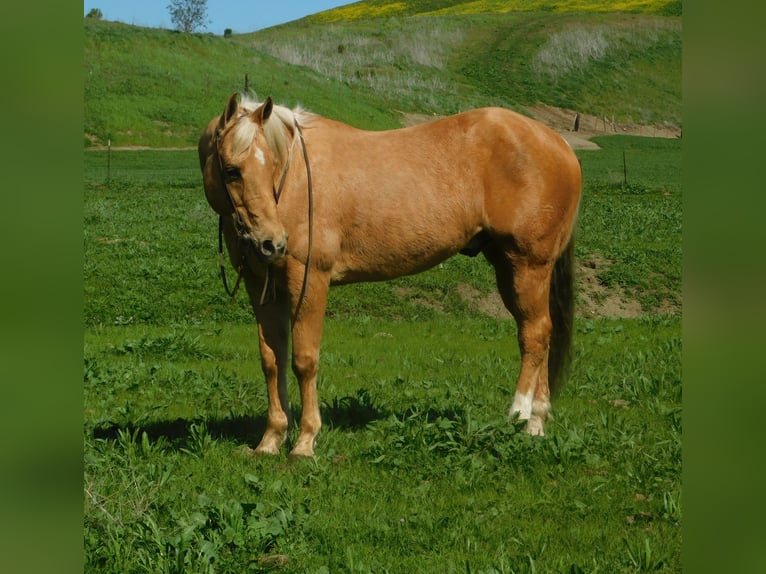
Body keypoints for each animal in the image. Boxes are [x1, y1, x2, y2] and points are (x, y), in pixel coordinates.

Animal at [198, 95, 584, 464]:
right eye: (232, 170)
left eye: (272, 166)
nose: (272, 242)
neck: (294, 182)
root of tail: (559, 144)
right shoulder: (261, 286)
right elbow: (271, 360)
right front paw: (271, 440)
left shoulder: (309, 280)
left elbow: (304, 361)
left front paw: (305, 442)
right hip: (509, 268)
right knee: (540, 333)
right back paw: (537, 422)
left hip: (528, 266)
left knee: (534, 335)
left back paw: (520, 415)